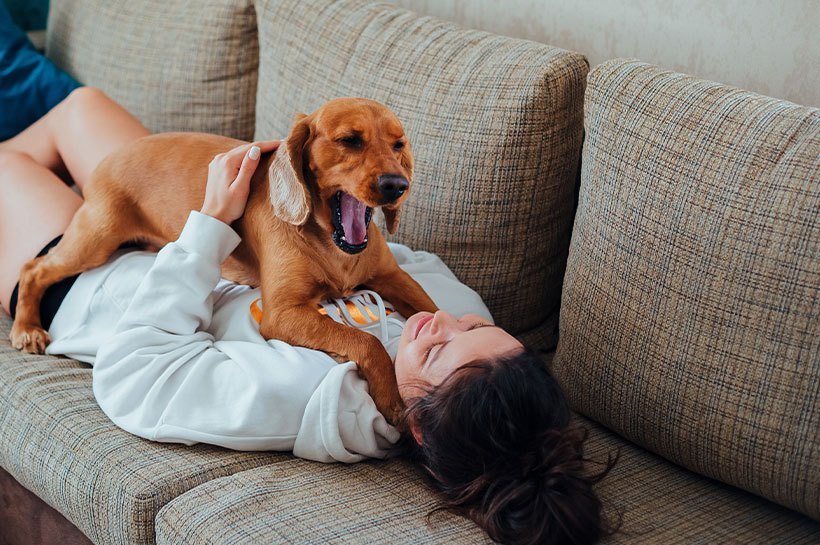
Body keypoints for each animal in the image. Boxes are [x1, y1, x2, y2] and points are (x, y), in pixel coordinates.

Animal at [9, 98, 438, 420]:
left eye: (399, 145)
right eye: (350, 140)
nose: (397, 185)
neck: (333, 245)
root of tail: (112, 156)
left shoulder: (394, 277)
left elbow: (431, 309)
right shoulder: (283, 312)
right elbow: (366, 342)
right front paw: (392, 398)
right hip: (95, 239)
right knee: (34, 268)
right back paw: (27, 327)